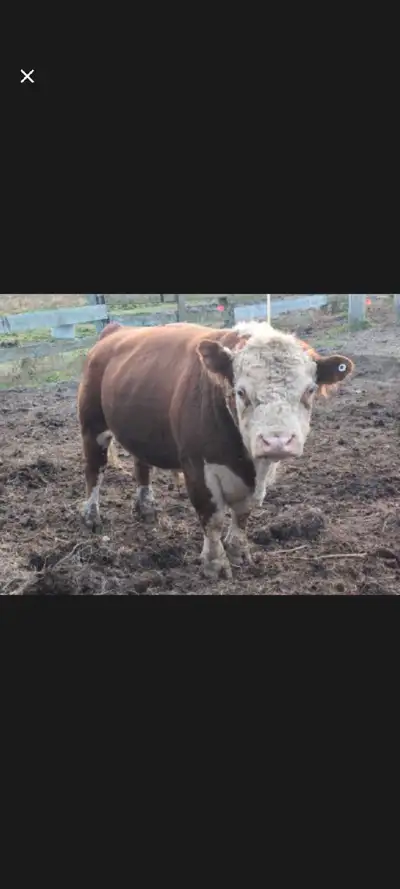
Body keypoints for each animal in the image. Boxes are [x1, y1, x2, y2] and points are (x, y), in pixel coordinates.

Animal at [77, 321, 354, 580]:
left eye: (310, 390)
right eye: (241, 392)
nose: (277, 441)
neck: (245, 462)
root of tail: (116, 330)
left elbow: (243, 513)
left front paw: (239, 551)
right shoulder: (197, 467)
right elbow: (213, 519)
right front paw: (215, 564)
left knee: (141, 465)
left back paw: (146, 508)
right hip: (93, 426)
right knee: (95, 470)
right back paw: (91, 516)